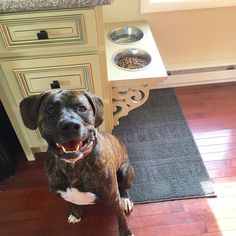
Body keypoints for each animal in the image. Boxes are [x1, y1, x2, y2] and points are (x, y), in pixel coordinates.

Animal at [19, 90, 135, 236]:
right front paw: (75, 214)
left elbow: (121, 218)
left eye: (82, 109)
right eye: (50, 111)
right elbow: (73, 203)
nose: (69, 125)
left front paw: (126, 232)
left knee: (123, 187)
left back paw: (125, 200)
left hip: (125, 172)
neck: (72, 166)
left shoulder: (114, 198)